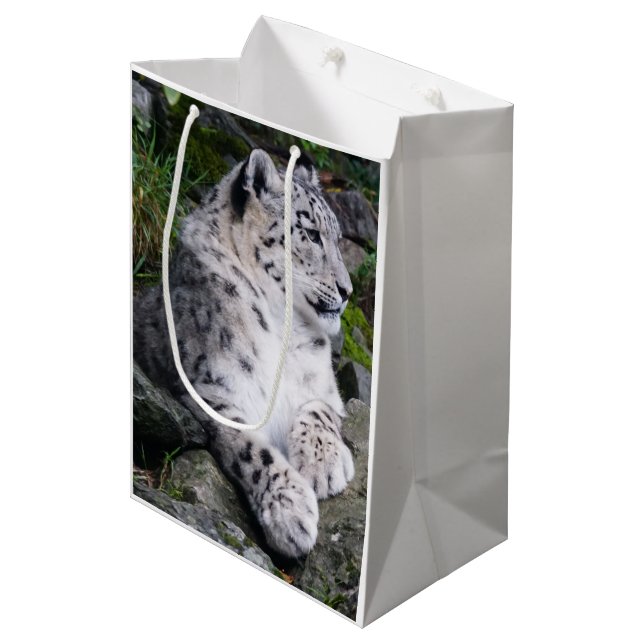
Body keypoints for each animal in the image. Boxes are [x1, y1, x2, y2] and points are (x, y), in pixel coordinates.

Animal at [134, 148, 355, 558]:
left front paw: (323, 465)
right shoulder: (212, 391)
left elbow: (320, 410)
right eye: (311, 234)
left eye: (336, 237)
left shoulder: (326, 388)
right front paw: (290, 510)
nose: (347, 290)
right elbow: (251, 449)